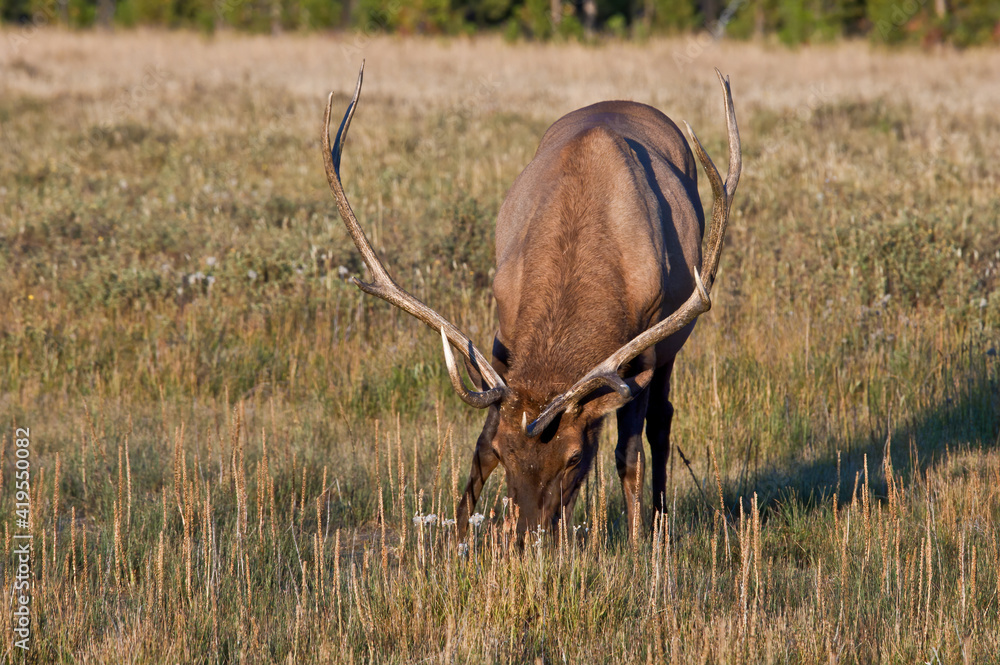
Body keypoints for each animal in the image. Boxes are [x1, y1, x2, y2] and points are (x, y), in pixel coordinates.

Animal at [322, 64, 740, 540]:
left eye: (574, 456)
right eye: (507, 452)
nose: (526, 536)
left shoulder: (643, 346)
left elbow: (627, 455)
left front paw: (638, 546)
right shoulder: (503, 326)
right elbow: (480, 443)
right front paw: (458, 536)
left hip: (672, 344)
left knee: (661, 422)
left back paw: (657, 524)